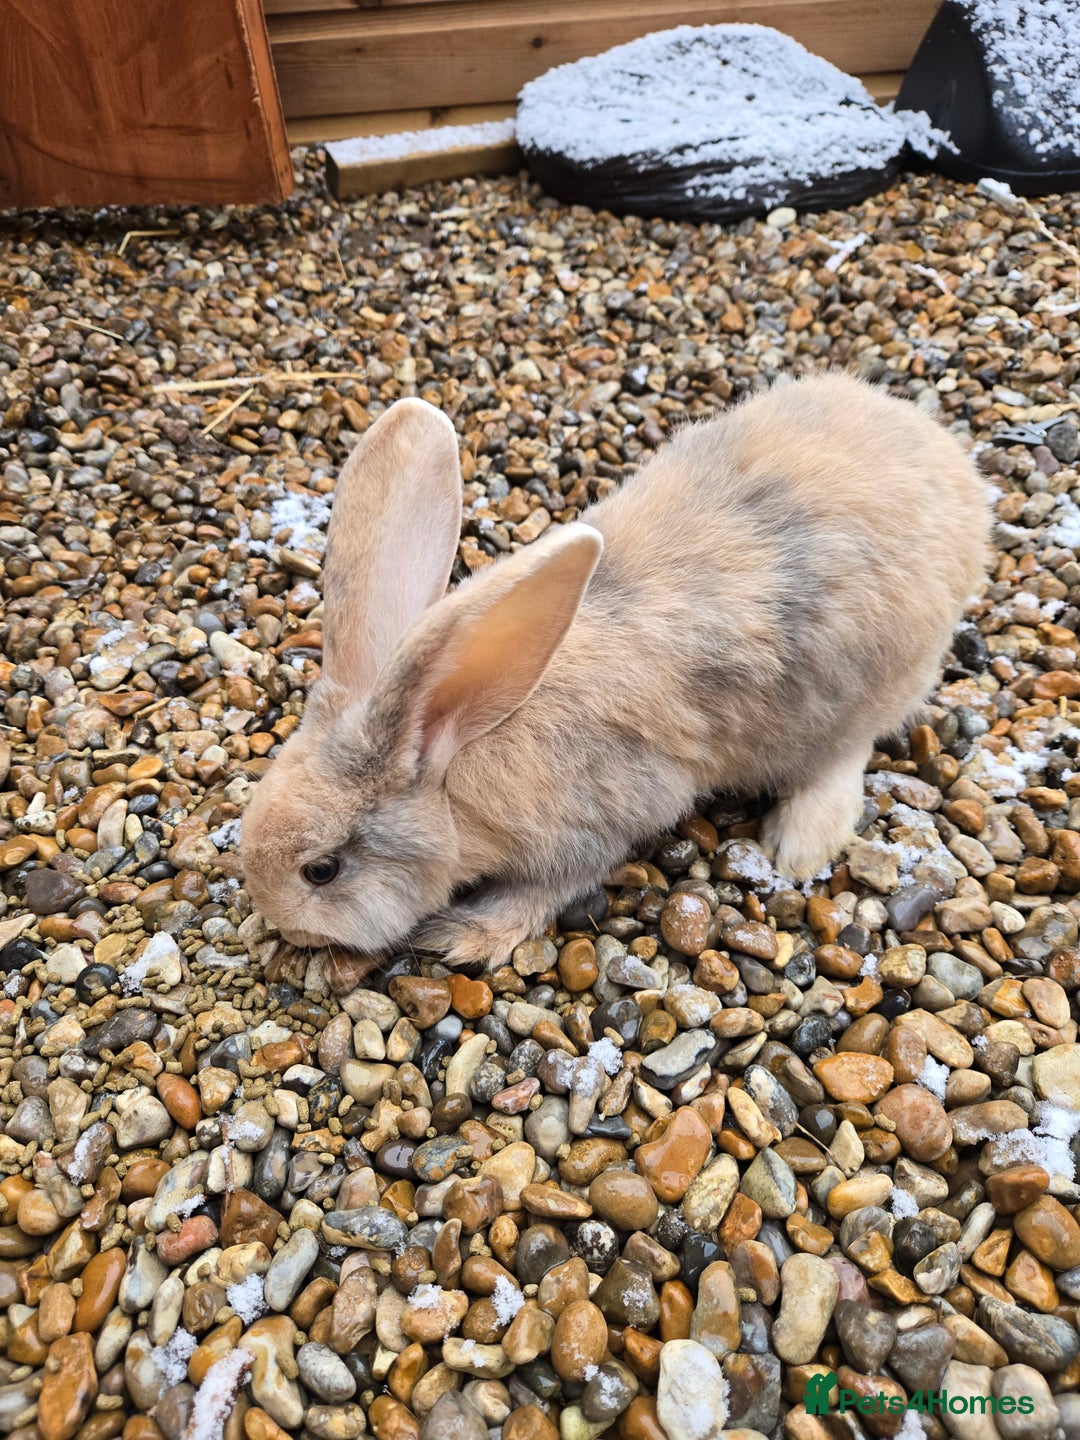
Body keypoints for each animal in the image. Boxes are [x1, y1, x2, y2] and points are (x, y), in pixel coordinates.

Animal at [240, 373, 989, 970]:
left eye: (321, 870)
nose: (282, 926)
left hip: (859, 691)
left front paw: (466, 937)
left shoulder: (601, 825)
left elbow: (547, 889)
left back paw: (798, 846)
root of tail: (956, 475)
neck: (454, 763)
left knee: (846, 755)